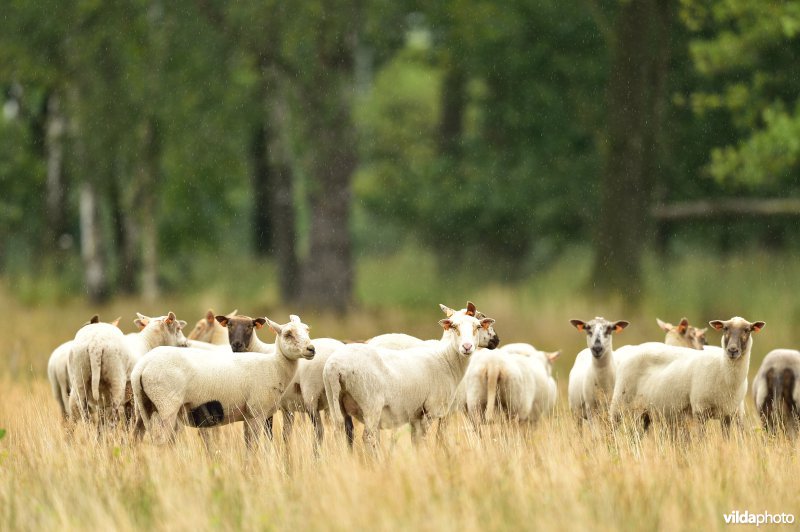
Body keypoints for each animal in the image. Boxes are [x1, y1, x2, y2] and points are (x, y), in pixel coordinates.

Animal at [131, 314, 316, 446]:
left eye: (307, 330)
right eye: (288, 334)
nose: (311, 349)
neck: (274, 365)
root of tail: (142, 366)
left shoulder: (248, 416)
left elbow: (248, 446)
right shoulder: (256, 414)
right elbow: (255, 447)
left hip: (143, 407)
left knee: (137, 438)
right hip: (166, 407)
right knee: (161, 442)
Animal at [216, 314, 344, 446]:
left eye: (250, 326)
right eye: (229, 325)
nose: (237, 345)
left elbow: (268, 434)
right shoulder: (287, 407)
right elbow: (285, 434)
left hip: (312, 396)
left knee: (320, 430)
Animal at [322, 304, 490, 454]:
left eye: (477, 327)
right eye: (454, 327)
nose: (467, 347)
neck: (446, 359)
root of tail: (335, 367)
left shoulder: (415, 414)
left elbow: (415, 441)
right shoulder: (431, 409)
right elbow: (425, 439)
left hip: (335, 402)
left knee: (340, 433)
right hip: (370, 404)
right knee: (368, 438)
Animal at [612, 316, 764, 436]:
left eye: (747, 330)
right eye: (725, 328)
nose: (732, 350)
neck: (723, 370)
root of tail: (634, 348)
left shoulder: (728, 414)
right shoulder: (700, 411)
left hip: (645, 412)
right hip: (619, 403)